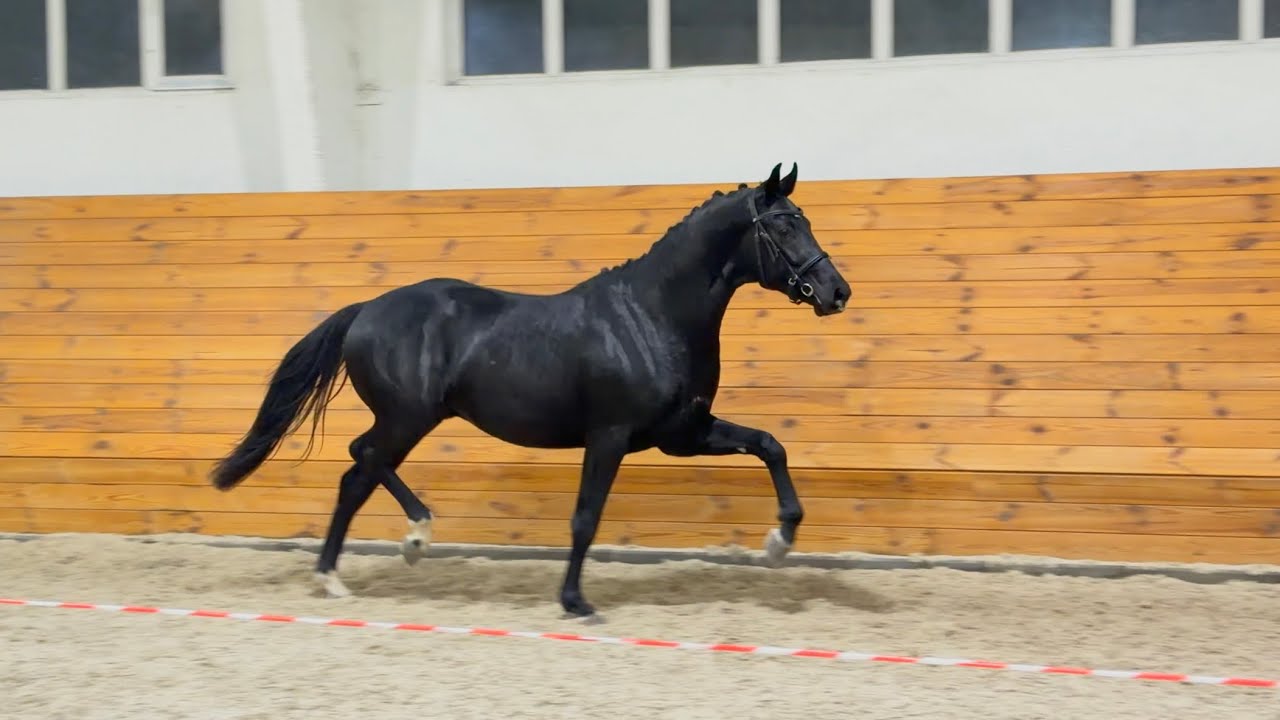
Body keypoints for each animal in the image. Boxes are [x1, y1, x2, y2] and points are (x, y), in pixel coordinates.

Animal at [208, 162, 851, 618]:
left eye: (806, 218)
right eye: (784, 224)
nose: (836, 291)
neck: (652, 316)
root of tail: (366, 309)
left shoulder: (682, 434)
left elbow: (769, 445)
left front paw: (779, 542)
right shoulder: (610, 435)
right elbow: (586, 517)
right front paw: (575, 602)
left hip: (411, 419)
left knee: (357, 470)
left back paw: (351, 569)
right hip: (407, 417)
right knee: (361, 461)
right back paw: (394, 546)